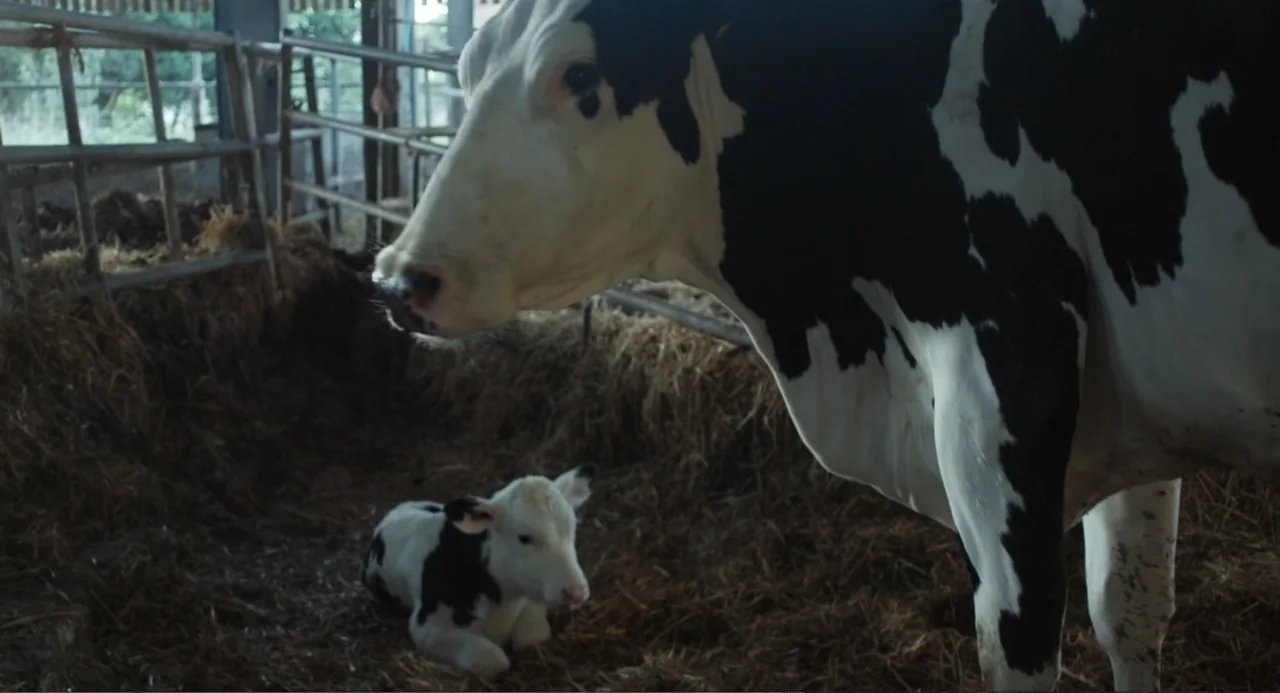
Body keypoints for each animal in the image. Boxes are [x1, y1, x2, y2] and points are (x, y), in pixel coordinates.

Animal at [361, 466, 596, 677]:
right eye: (524, 537)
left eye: (573, 528)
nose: (577, 593)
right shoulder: (427, 626)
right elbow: (493, 660)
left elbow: (532, 638)